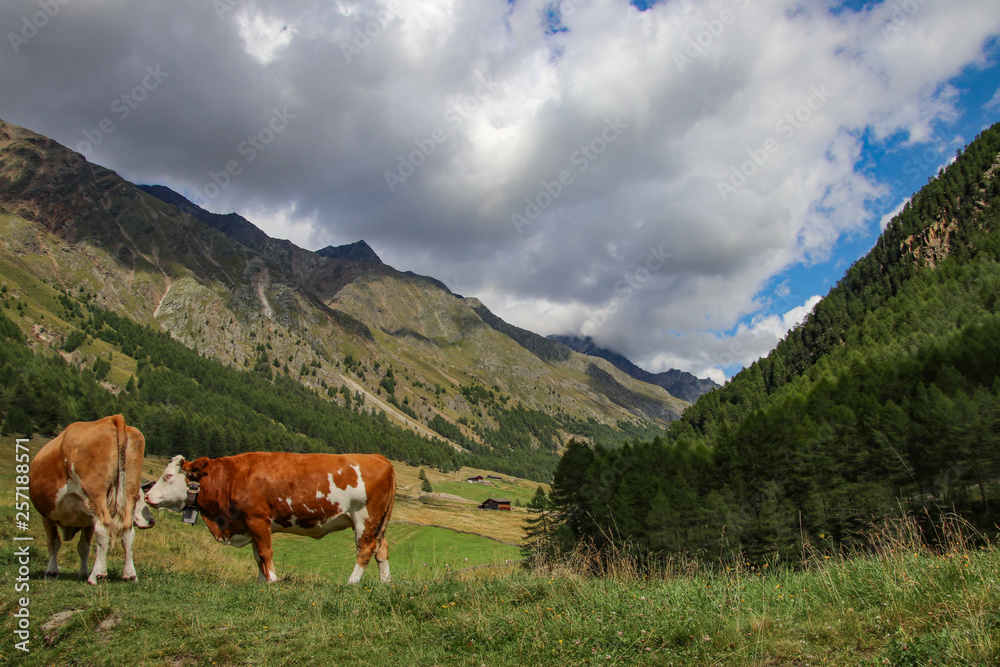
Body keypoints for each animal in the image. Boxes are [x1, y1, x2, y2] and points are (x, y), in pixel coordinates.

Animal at [28, 414, 154, 588]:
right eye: (141, 498)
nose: (151, 520)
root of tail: (113, 418)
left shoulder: (47, 516)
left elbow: (53, 542)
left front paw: (51, 572)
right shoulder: (87, 520)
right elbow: (84, 547)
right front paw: (83, 572)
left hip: (95, 496)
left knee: (103, 528)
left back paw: (98, 575)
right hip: (128, 490)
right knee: (127, 530)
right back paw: (129, 575)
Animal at [146, 454, 396, 584]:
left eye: (168, 476)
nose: (147, 496)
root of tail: (378, 457)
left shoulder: (257, 519)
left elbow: (265, 552)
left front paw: (273, 580)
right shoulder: (249, 524)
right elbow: (257, 556)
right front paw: (260, 581)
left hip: (364, 518)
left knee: (365, 549)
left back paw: (351, 582)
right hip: (377, 522)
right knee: (381, 548)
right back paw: (385, 583)